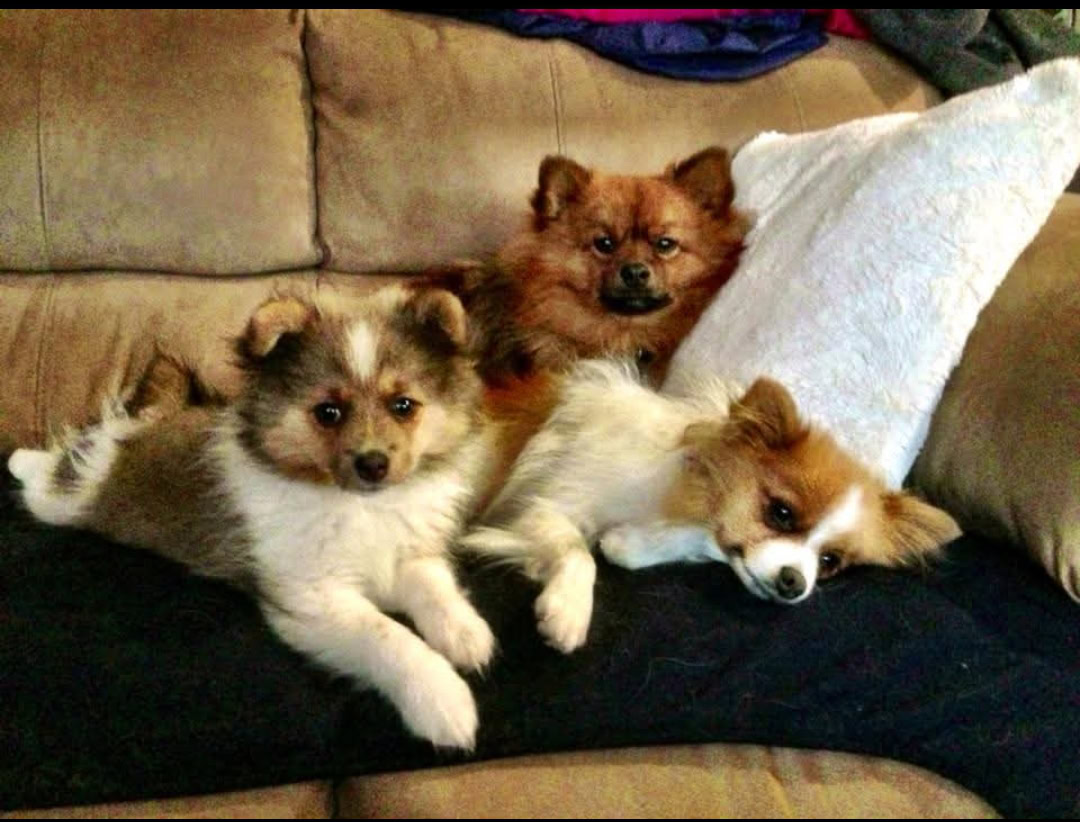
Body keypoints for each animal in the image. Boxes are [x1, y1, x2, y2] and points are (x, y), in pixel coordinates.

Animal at [8, 287, 494, 751]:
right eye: (328, 412)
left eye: (403, 405)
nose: (373, 464)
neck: (361, 506)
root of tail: (145, 424)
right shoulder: (311, 595)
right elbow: (386, 635)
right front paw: (443, 699)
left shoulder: (407, 554)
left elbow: (434, 586)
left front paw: (465, 631)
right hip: (69, 497)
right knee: (51, 471)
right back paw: (21, 460)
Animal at [460, 360, 959, 652]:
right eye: (780, 513)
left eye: (830, 562)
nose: (794, 583)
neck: (677, 493)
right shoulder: (542, 507)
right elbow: (577, 553)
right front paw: (567, 612)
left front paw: (629, 544)